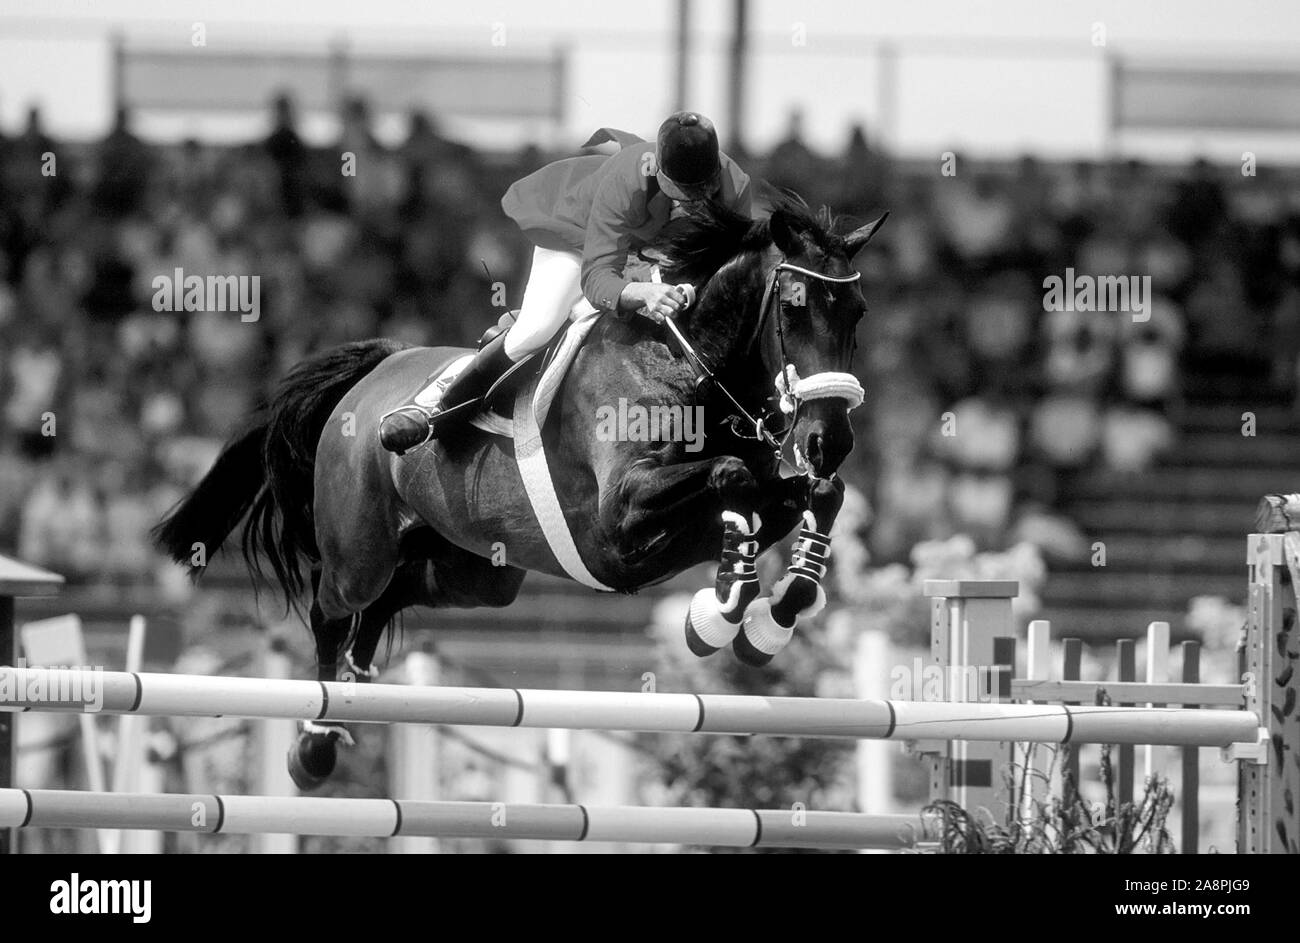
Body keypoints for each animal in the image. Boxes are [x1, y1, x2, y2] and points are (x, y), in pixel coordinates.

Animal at [152, 195, 883, 790]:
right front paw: (724, 607)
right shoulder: (621, 521)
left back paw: (356, 689)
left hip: (477, 571)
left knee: (394, 594)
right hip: (361, 551)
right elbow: (734, 479)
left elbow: (813, 495)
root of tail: (376, 370)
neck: (683, 364)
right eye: (793, 308)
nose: (832, 439)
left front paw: (772, 613)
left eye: (858, 312)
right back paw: (317, 742)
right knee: (334, 607)